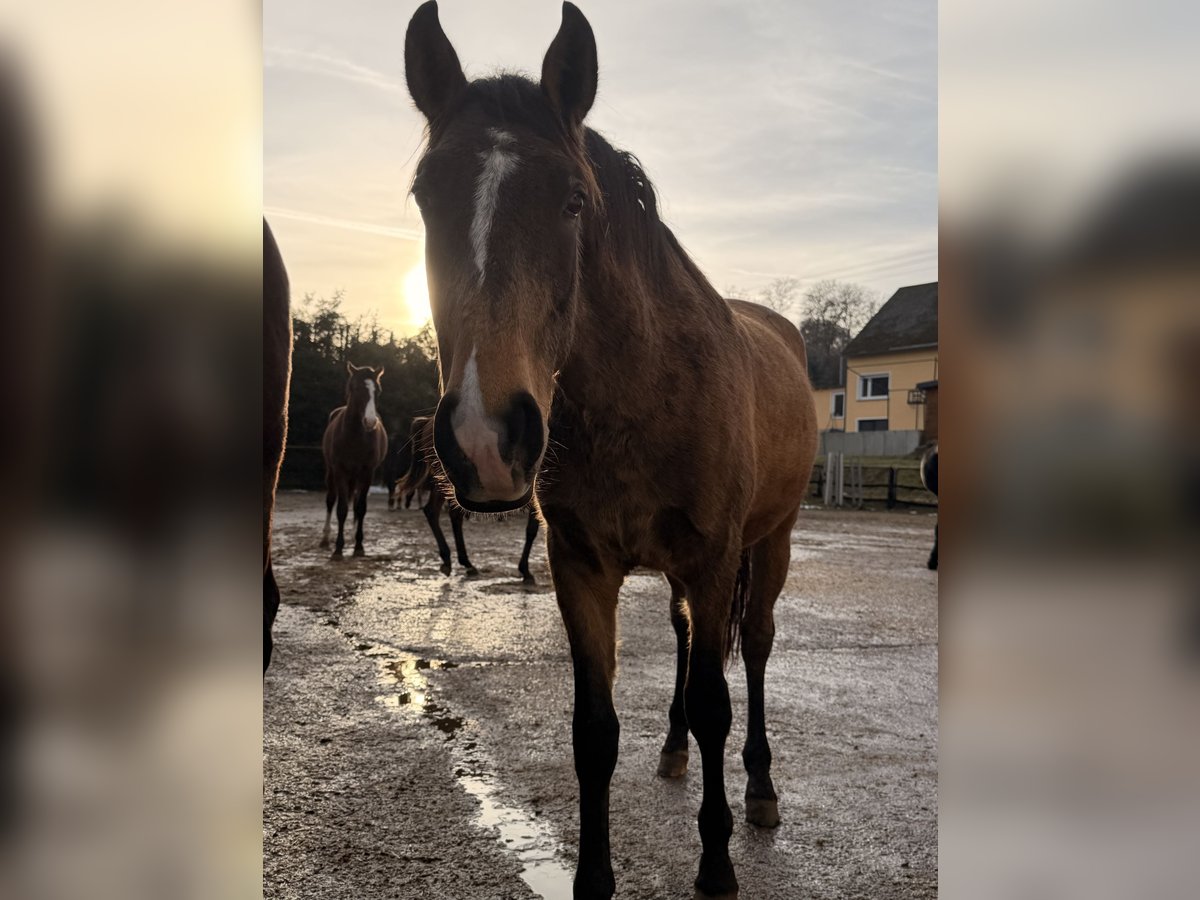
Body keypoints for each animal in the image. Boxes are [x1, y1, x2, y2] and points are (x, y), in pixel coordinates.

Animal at [320, 364, 388, 558]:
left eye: (378, 391)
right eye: (356, 388)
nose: (370, 421)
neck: (355, 437)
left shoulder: (367, 473)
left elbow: (361, 508)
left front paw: (359, 546)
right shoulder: (340, 471)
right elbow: (341, 508)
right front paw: (338, 549)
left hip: (357, 477)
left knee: (356, 503)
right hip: (332, 473)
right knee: (330, 500)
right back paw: (325, 539)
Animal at [402, 415, 541, 582]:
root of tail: (428, 421)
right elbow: (532, 530)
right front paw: (525, 570)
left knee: (444, 513)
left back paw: (460, 562)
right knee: (438, 512)